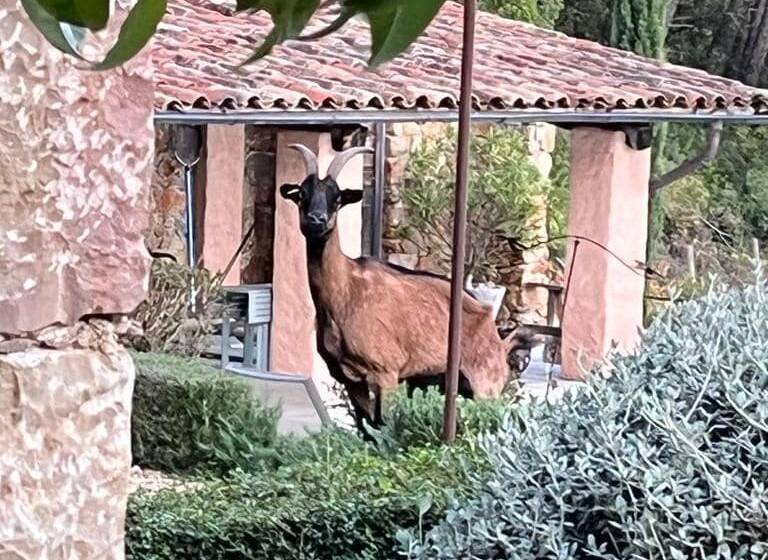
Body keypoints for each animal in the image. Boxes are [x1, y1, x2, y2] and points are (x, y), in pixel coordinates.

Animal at [280, 143, 520, 428]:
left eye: (336, 197)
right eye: (302, 194)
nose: (315, 221)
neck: (346, 294)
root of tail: (495, 330)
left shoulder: (386, 373)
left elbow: (382, 424)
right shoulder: (349, 379)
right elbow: (367, 429)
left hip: (485, 382)